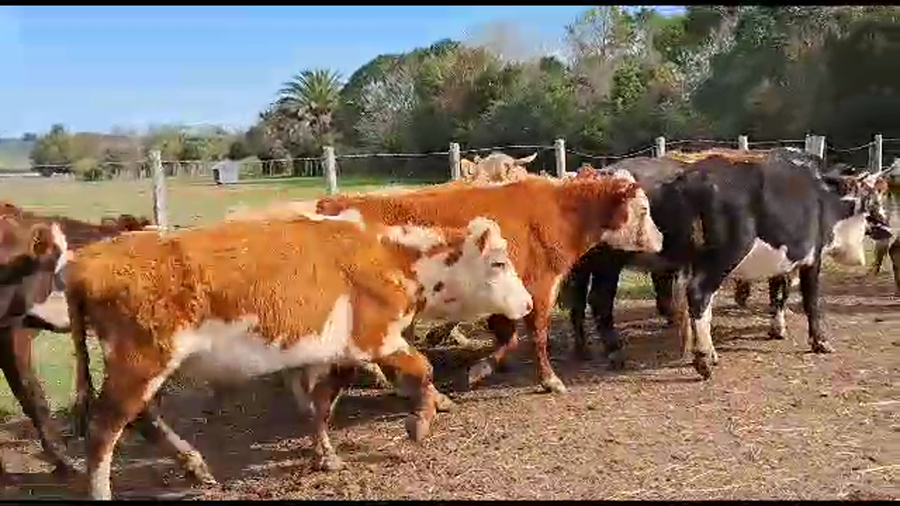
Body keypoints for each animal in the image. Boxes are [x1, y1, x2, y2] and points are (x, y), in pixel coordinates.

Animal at [64, 210, 534, 500]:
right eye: (498, 263)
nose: (528, 303)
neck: (387, 253)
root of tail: (85, 262)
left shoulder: (338, 351)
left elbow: (322, 402)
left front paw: (324, 455)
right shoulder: (376, 338)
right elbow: (424, 367)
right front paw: (419, 422)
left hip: (147, 369)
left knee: (142, 420)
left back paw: (194, 465)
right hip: (140, 365)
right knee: (104, 430)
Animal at [313, 175, 664, 395]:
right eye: (644, 209)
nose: (661, 240)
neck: (558, 214)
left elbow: (509, 339)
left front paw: (481, 369)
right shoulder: (539, 290)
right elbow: (536, 337)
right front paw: (549, 380)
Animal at [563, 148, 887, 374]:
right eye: (874, 199)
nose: (886, 225)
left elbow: (777, 293)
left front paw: (777, 327)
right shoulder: (811, 258)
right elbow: (809, 301)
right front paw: (818, 340)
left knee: (581, 301)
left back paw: (584, 349)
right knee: (618, 300)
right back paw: (695, 358)